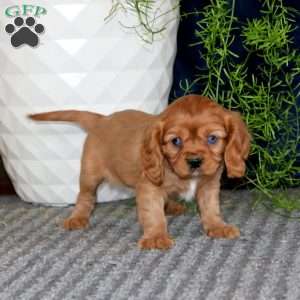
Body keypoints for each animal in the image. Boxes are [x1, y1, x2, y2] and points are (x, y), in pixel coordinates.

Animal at [29, 95, 251, 250]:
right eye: (176, 141)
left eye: (212, 139)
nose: (195, 161)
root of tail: (102, 119)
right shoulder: (149, 188)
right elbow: (153, 213)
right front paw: (156, 237)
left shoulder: (209, 185)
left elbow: (211, 208)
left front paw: (217, 226)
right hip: (89, 175)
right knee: (85, 197)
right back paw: (77, 218)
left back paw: (172, 206)